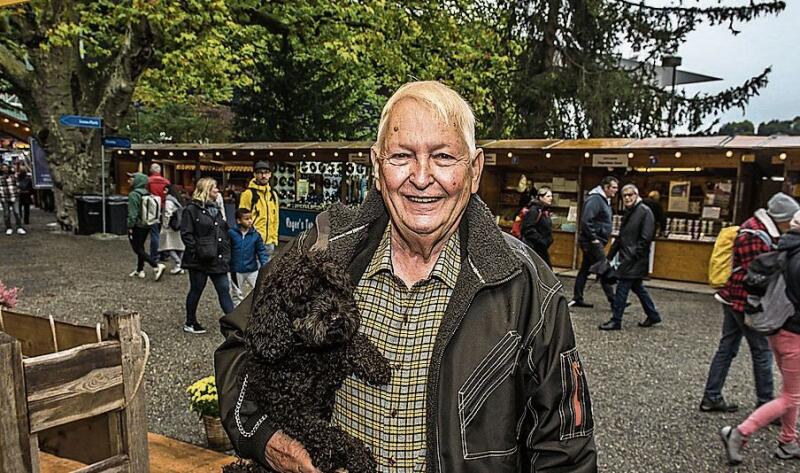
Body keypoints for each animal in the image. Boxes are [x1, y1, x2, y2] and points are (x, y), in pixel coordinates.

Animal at [223, 249, 392, 470]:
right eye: (303, 297)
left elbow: (351, 341)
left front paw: (374, 363)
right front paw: (356, 455)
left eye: (335, 288)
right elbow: (328, 432)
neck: (307, 355)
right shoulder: (291, 410)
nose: (336, 317)